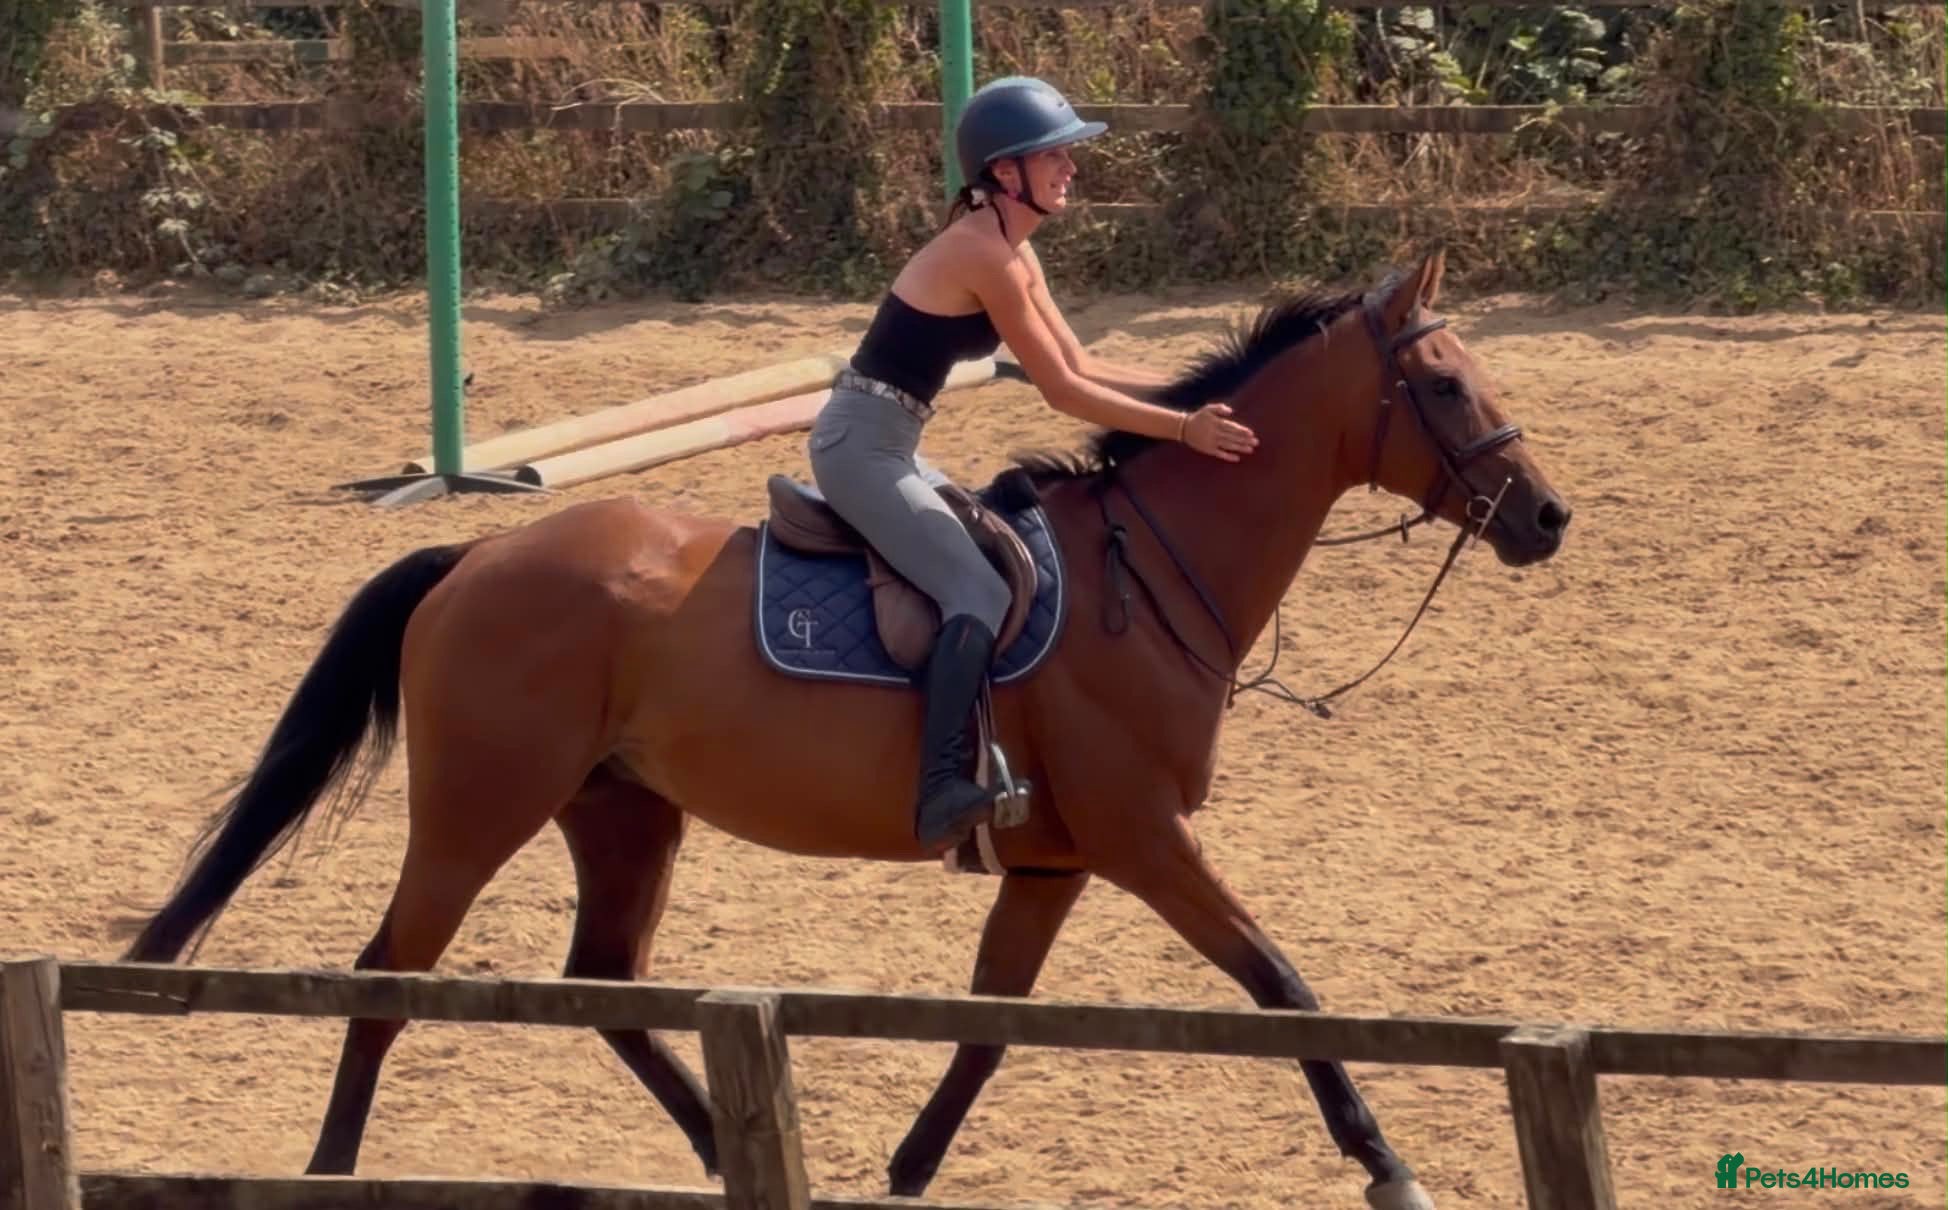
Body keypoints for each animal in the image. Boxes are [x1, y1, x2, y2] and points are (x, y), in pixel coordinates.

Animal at [120, 249, 1570, 1210]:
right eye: (1445, 383)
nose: (1548, 517)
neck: (1150, 574)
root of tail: (477, 553)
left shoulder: (1058, 860)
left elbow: (988, 1026)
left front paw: (910, 1169)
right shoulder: (1147, 840)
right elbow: (1281, 984)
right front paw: (1383, 1158)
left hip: (623, 811)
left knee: (605, 984)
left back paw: (722, 1146)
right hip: (481, 808)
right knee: (385, 976)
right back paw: (331, 1169)